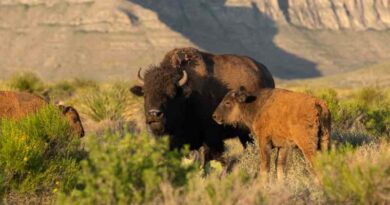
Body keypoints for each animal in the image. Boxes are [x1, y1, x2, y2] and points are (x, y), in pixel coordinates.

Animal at [130, 47, 274, 163]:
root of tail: (267, 75)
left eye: (172, 94)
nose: (154, 114)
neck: (187, 97)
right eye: (145, 94)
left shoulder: (211, 140)